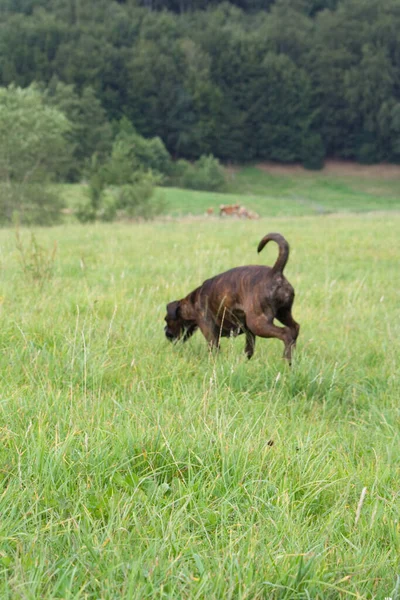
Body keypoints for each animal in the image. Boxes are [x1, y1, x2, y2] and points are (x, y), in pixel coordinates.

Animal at [164, 232, 298, 358]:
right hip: (283, 314)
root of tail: (275, 272)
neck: (192, 303)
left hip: (259, 323)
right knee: (294, 328)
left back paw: (286, 361)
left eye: (166, 320)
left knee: (285, 333)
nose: (165, 331)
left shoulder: (211, 336)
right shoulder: (249, 333)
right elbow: (249, 350)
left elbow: (214, 352)